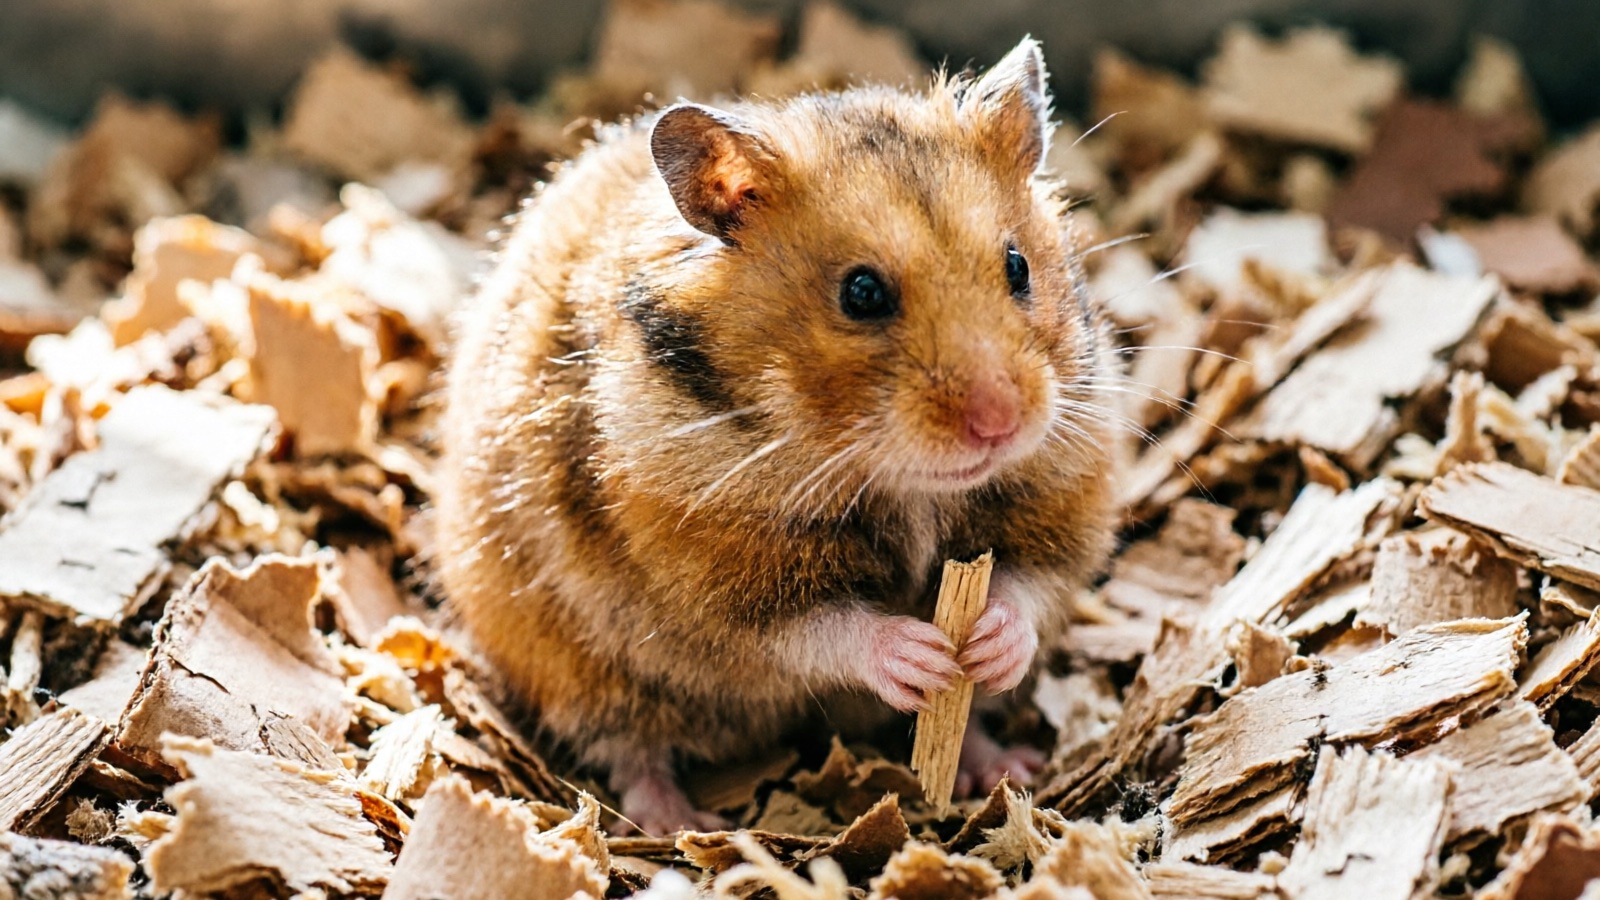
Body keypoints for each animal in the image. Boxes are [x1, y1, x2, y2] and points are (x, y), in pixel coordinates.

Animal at [436, 38, 1119, 835]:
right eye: (861, 293)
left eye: (1017, 267)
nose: (1000, 425)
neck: (900, 481)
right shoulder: (718, 575)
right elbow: (820, 628)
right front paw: (920, 654)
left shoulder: (1068, 491)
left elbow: (1026, 583)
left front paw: (987, 645)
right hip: (579, 670)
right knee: (631, 749)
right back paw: (683, 824)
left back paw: (1004, 766)